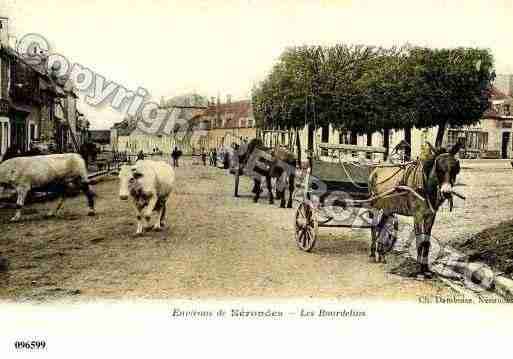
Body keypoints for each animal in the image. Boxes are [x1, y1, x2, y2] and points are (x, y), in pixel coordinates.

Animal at [366, 142, 462, 280]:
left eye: (455, 168)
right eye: (438, 168)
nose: (446, 192)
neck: (425, 186)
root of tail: (376, 169)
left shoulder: (430, 216)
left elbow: (426, 242)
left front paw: (426, 269)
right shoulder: (417, 216)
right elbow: (419, 242)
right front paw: (419, 271)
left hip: (388, 208)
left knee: (382, 226)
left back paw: (382, 254)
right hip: (375, 205)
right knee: (374, 227)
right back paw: (373, 253)